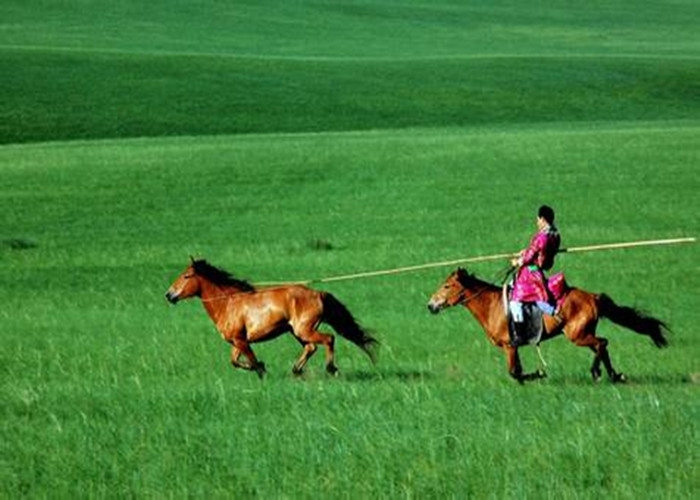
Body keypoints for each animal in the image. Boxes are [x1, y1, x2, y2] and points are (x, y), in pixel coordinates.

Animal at [165, 258, 378, 378]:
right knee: (311, 347)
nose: (169, 295)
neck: (228, 303)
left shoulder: (241, 341)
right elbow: (235, 361)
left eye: (186, 276)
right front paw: (261, 366)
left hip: (304, 330)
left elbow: (251, 361)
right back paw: (296, 370)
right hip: (297, 332)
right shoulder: (237, 342)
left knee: (328, 339)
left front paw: (262, 370)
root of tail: (318, 293)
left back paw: (330, 368)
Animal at [426, 270, 668, 382]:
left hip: (578, 336)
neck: (493, 306)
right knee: (602, 346)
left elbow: (514, 372)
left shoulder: (509, 346)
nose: (431, 305)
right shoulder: (513, 347)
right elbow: (517, 372)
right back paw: (614, 375)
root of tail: (593, 297)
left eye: (446, 286)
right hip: (584, 334)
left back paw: (597, 372)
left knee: (602, 343)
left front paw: (540, 373)